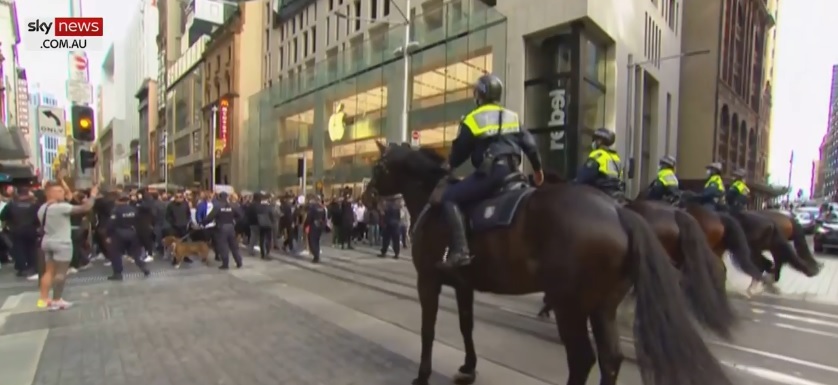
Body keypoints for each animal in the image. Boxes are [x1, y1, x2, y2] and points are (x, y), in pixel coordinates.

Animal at [362, 142, 736, 384]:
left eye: (377, 166)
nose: (366, 197)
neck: (433, 201)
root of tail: (619, 213)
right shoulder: (463, 283)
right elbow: (466, 326)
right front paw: (468, 367)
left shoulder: (427, 279)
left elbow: (429, 328)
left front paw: (422, 374)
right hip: (602, 305)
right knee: (610, 358)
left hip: (571, 304)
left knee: (583, 358)